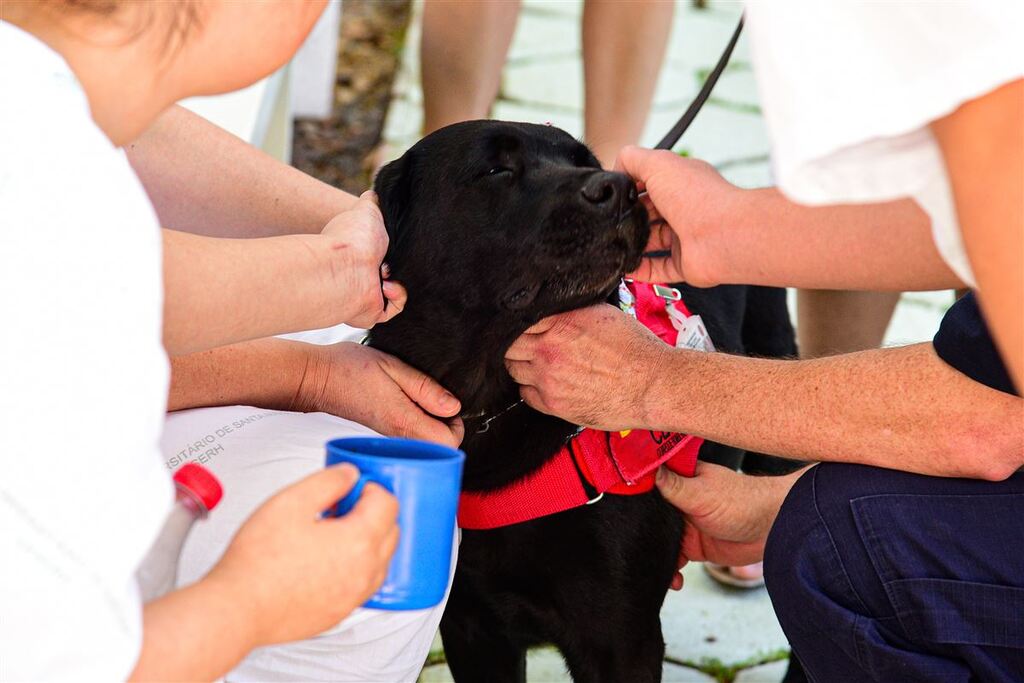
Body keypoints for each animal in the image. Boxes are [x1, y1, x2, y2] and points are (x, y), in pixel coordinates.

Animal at [372, 120, 794, 679]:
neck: (492, 410)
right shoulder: (471, 628)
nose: (619, 187)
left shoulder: (621, 639)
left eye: (585, 161)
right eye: (494, 169)